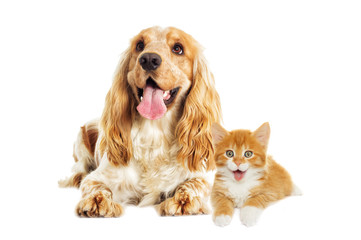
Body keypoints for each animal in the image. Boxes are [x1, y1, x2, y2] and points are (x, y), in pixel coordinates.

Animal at [59, 26, 221, 218]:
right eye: (139, 45)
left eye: (178, 48)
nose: (149, 59)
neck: (155, 131)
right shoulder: (98, 177)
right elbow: (96, 186)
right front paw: (97, 201)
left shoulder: (200, 177)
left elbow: (193, 184)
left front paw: (183, 201)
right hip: (81, 138)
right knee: (80, 168)